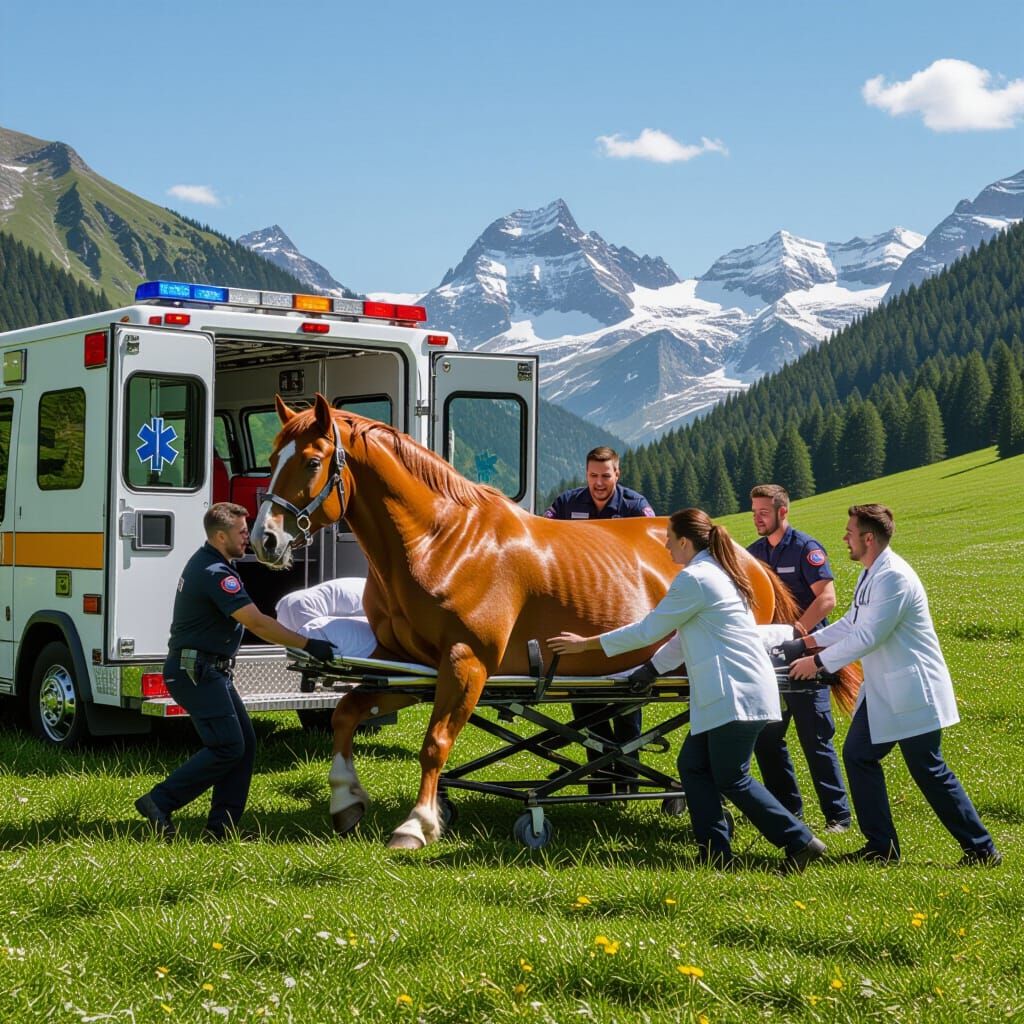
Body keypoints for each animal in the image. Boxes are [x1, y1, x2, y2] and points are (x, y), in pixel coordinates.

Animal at [251, 393, 859, 849]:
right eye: (272, 454)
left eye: (311, 461)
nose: (266, 539)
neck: (443, 542)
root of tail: (747, 559)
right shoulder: (407, 667)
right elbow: (346, 714)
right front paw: (345, 799)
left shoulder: (466, 667)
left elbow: (434, 744)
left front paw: (416, 825)